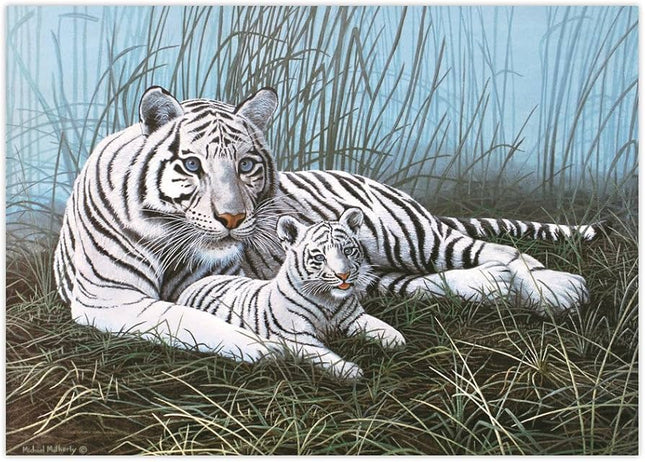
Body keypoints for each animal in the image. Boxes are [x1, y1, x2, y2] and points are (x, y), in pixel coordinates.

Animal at [177, 207, 404, 379]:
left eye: (348, 251)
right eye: (320, 257)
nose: (343, 275)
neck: (328, 300)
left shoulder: (354, 317)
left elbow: (379, 327)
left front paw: (397, 340)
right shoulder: (299, 337)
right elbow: (325, 355)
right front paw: (351, 371)